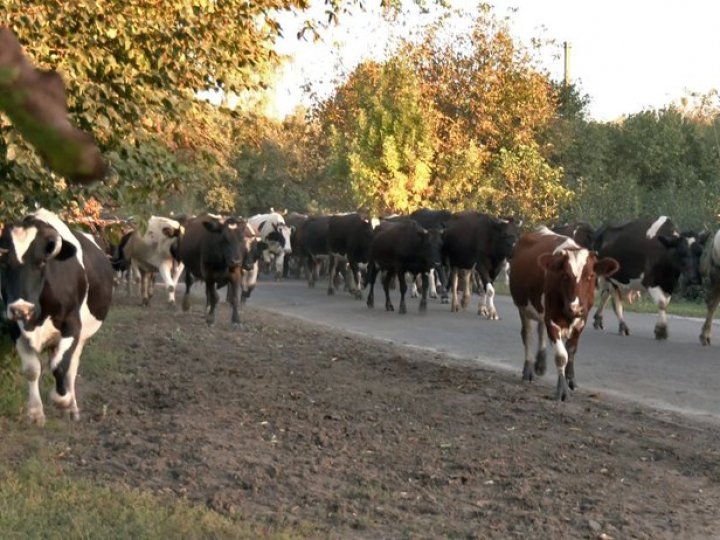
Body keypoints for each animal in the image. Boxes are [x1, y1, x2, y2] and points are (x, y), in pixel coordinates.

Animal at [0, 209, 113, 424]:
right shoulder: (14, 326)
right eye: (5, 263)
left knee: (71, 368)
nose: (21, 309)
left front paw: (62, 399)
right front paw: (35, 412)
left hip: (81, 337)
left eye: (42, 262)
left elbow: (60, 367)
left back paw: (72, 408)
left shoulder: (72, 325)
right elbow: (32, 369)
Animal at [506, 227, 620, 400]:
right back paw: (528, 369)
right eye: (565, 275)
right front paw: (562, 389)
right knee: (527, 334)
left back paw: (541, 364)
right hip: (522, 306)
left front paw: (571, 380)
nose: (575, 308)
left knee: (540, 329)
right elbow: (561, 356)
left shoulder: (581, 321)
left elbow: (571, 351)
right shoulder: (552, 320)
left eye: (590, 276)